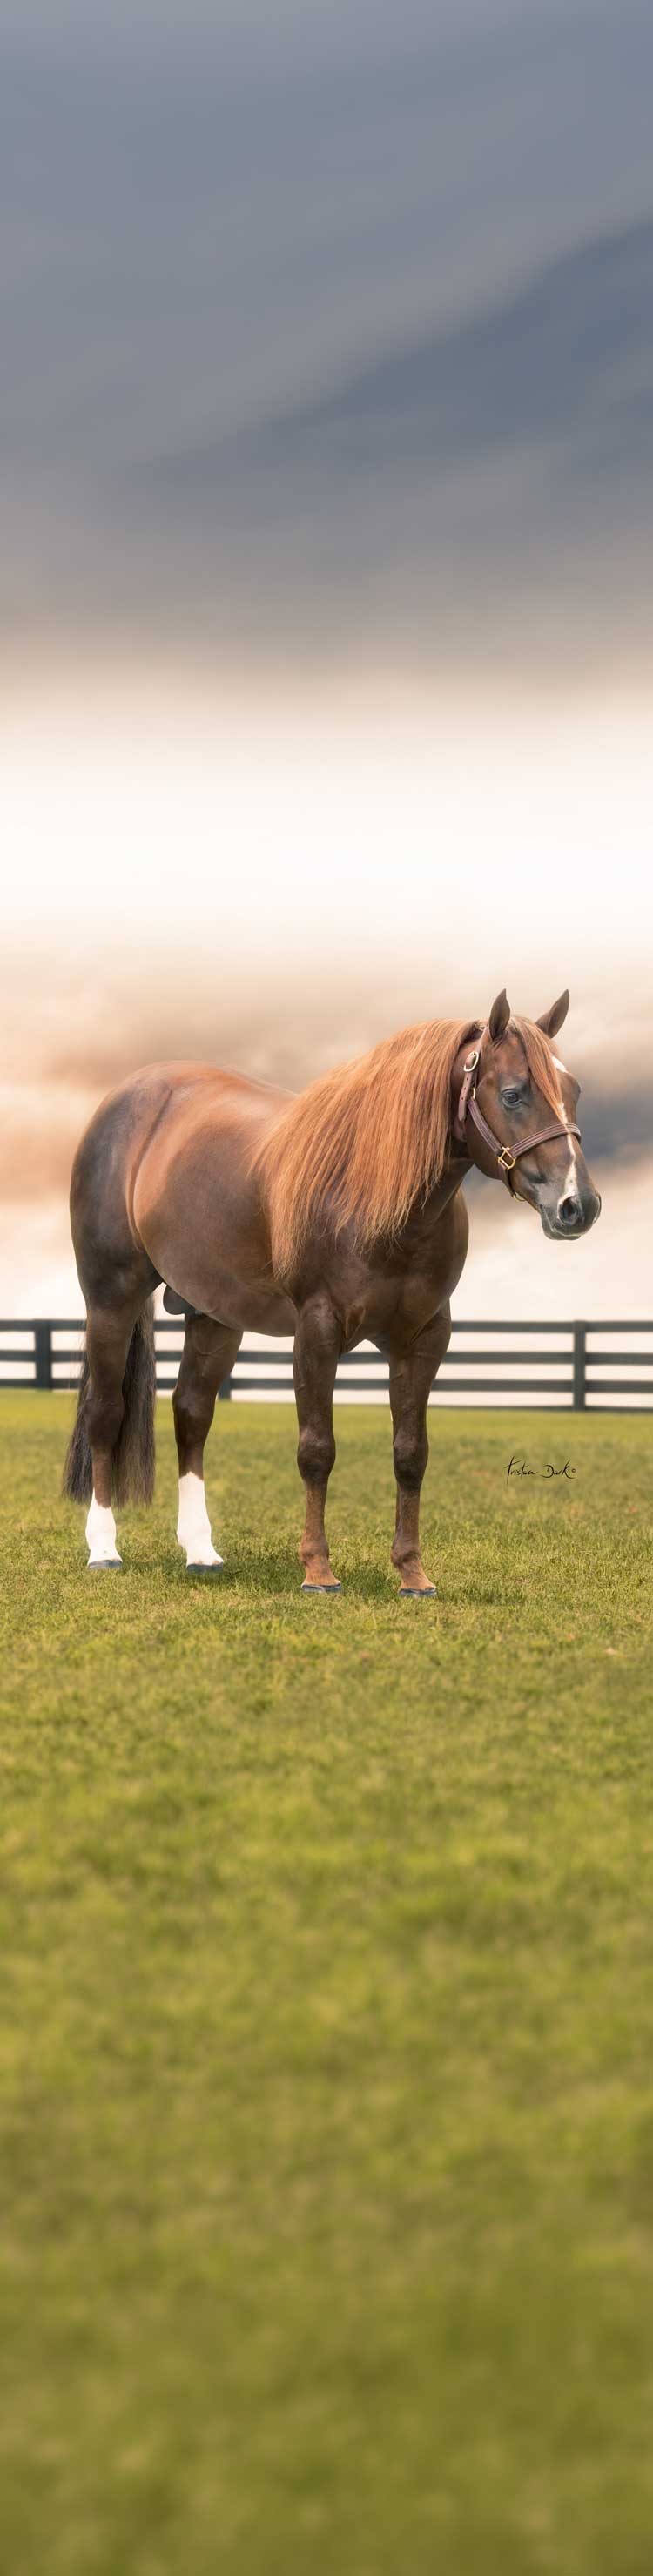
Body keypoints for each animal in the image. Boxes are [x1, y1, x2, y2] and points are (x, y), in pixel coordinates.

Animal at [63, 987, 601, 1593]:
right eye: (512, 1094)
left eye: (574, 1091)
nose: (578, 1205)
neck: (377, 1195)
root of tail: (128, 1099)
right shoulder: (317, 1331)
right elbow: (317, 1450)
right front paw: (318, 1570)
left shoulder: (424, 1339)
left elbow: (411, 1454)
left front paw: (413, 1573)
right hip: (111, 1298)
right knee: (105, 1412)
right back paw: (103, 1549)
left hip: (213, 1316)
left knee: (191, 1414)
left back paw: (201, 1551)